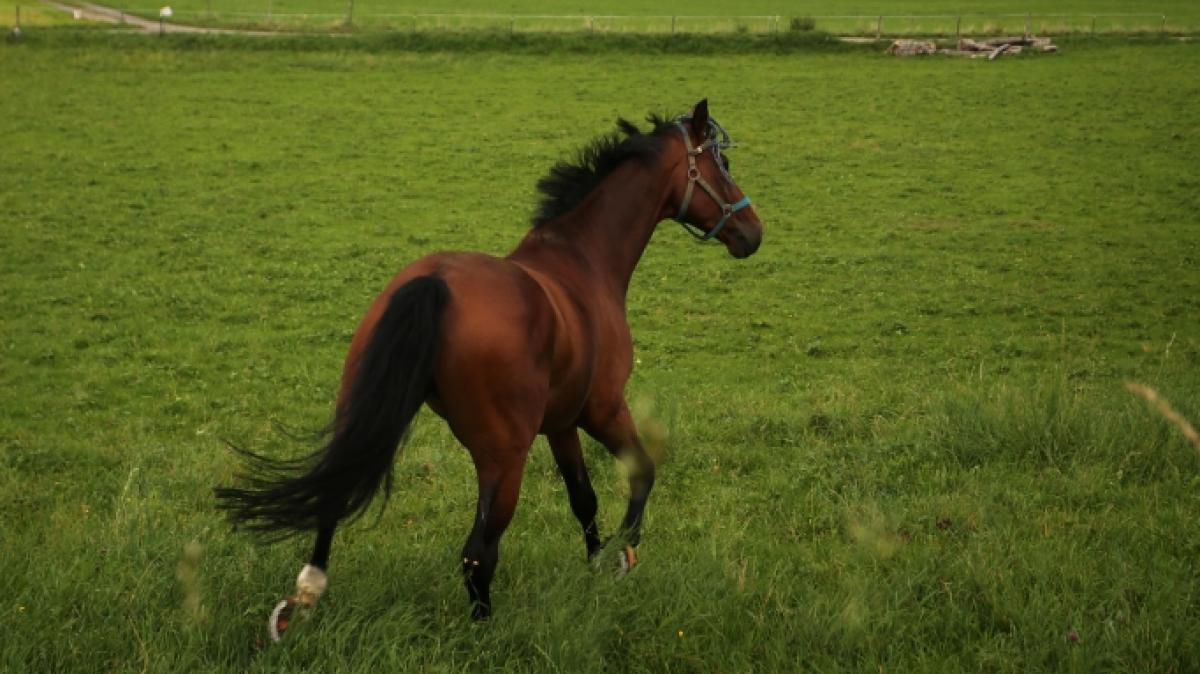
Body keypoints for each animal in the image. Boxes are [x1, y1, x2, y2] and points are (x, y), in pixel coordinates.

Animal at [215, 98, 763, 638]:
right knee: (479, 553)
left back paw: (303, 599)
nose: (753, 232)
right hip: (504, 456)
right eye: (722, 164)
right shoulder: (602, 409)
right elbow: (641, 473)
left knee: (336, 493)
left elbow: (583, 498)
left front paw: (595, 566)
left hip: (365, 415)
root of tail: (433, 281)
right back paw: (485, 632)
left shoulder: (561, 423)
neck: (582, 262)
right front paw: (620, 558)